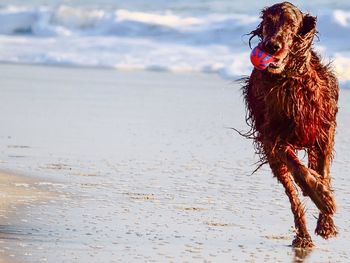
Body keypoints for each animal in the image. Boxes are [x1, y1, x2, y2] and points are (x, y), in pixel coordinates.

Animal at [242, 2, 338, 250]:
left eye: (291, 24)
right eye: (268, 21)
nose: (271, 45)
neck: (291, 80)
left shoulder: (325, 129)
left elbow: (323, 170)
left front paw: (326, 221)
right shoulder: (272, 136)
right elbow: (299, 169)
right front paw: (322, 197)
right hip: (274, 159)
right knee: (292, 193)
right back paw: (303, 235)